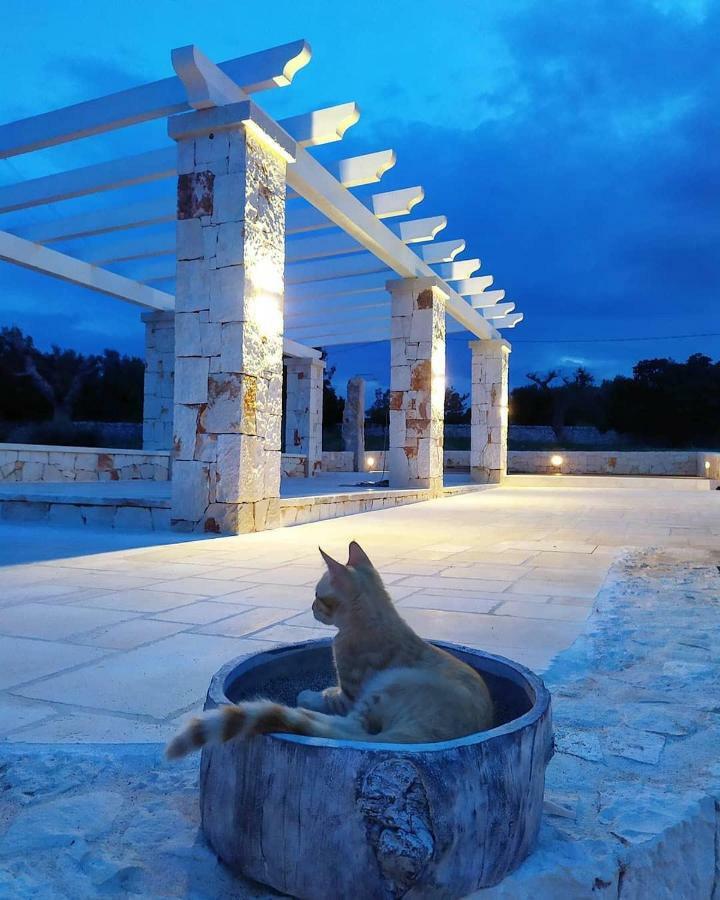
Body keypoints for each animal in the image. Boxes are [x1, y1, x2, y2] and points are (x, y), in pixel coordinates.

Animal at [167, 540, 496, 760]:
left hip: (385, 687)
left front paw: (311, 696)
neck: (378, 618)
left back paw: (297, 710)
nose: (310, 607)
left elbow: (329, 698)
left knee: (351, 731)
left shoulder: (349, 693)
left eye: (317, 596)